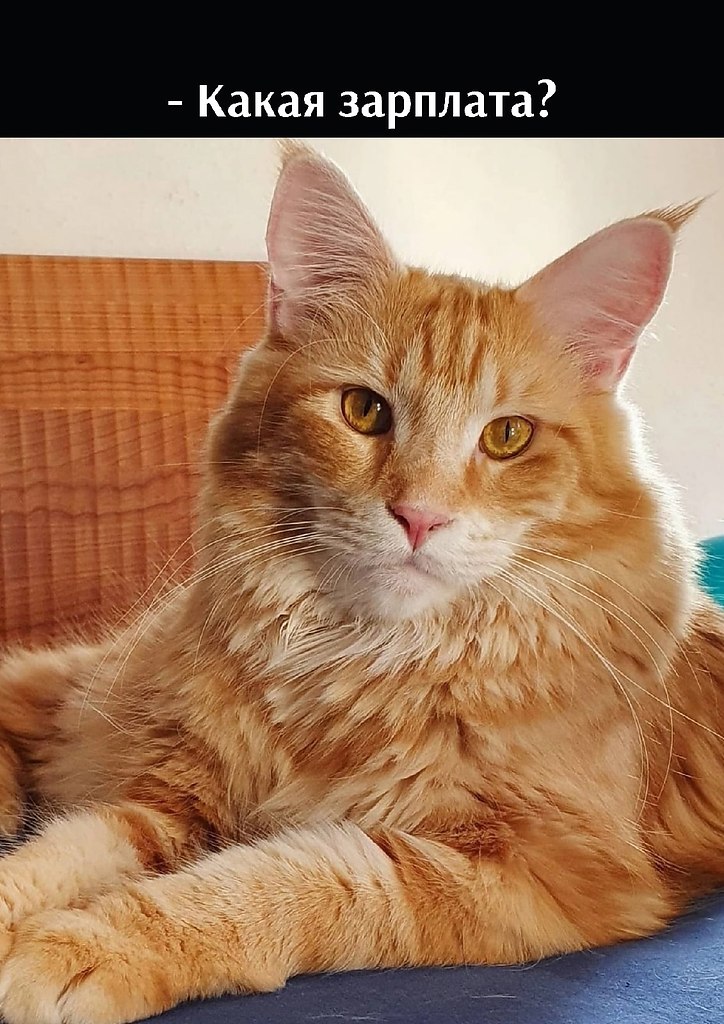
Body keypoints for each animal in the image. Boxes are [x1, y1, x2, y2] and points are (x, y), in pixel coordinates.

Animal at [0, 140, 723, 1024]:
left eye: (507, 437)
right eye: (364, 411)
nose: (418, 517)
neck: (360, 668)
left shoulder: (541, 874)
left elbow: (278, 884)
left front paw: (89, 945)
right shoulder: (168, 794)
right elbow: (54, 858)